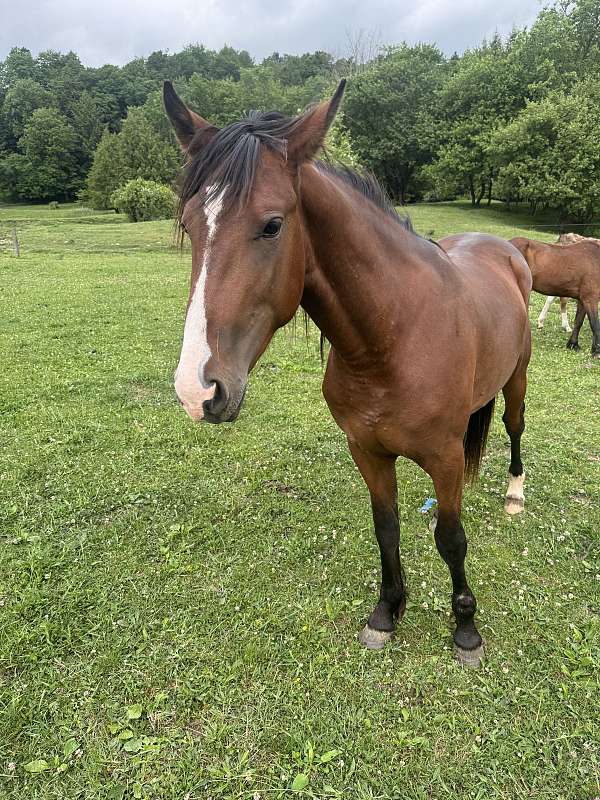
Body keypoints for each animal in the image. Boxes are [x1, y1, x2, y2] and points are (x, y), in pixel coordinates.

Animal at [164, 80, 532, 667]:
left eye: (272, 225)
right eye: (189, 224)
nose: (197, 390)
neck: (393, 337)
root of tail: (504, 246)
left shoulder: (445, 455)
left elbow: (452, 540)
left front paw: (466, 630)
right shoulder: (367, 450)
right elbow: (386, 528)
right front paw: (387, 613)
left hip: (517, 376)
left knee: (515, 426)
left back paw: (516, 494)